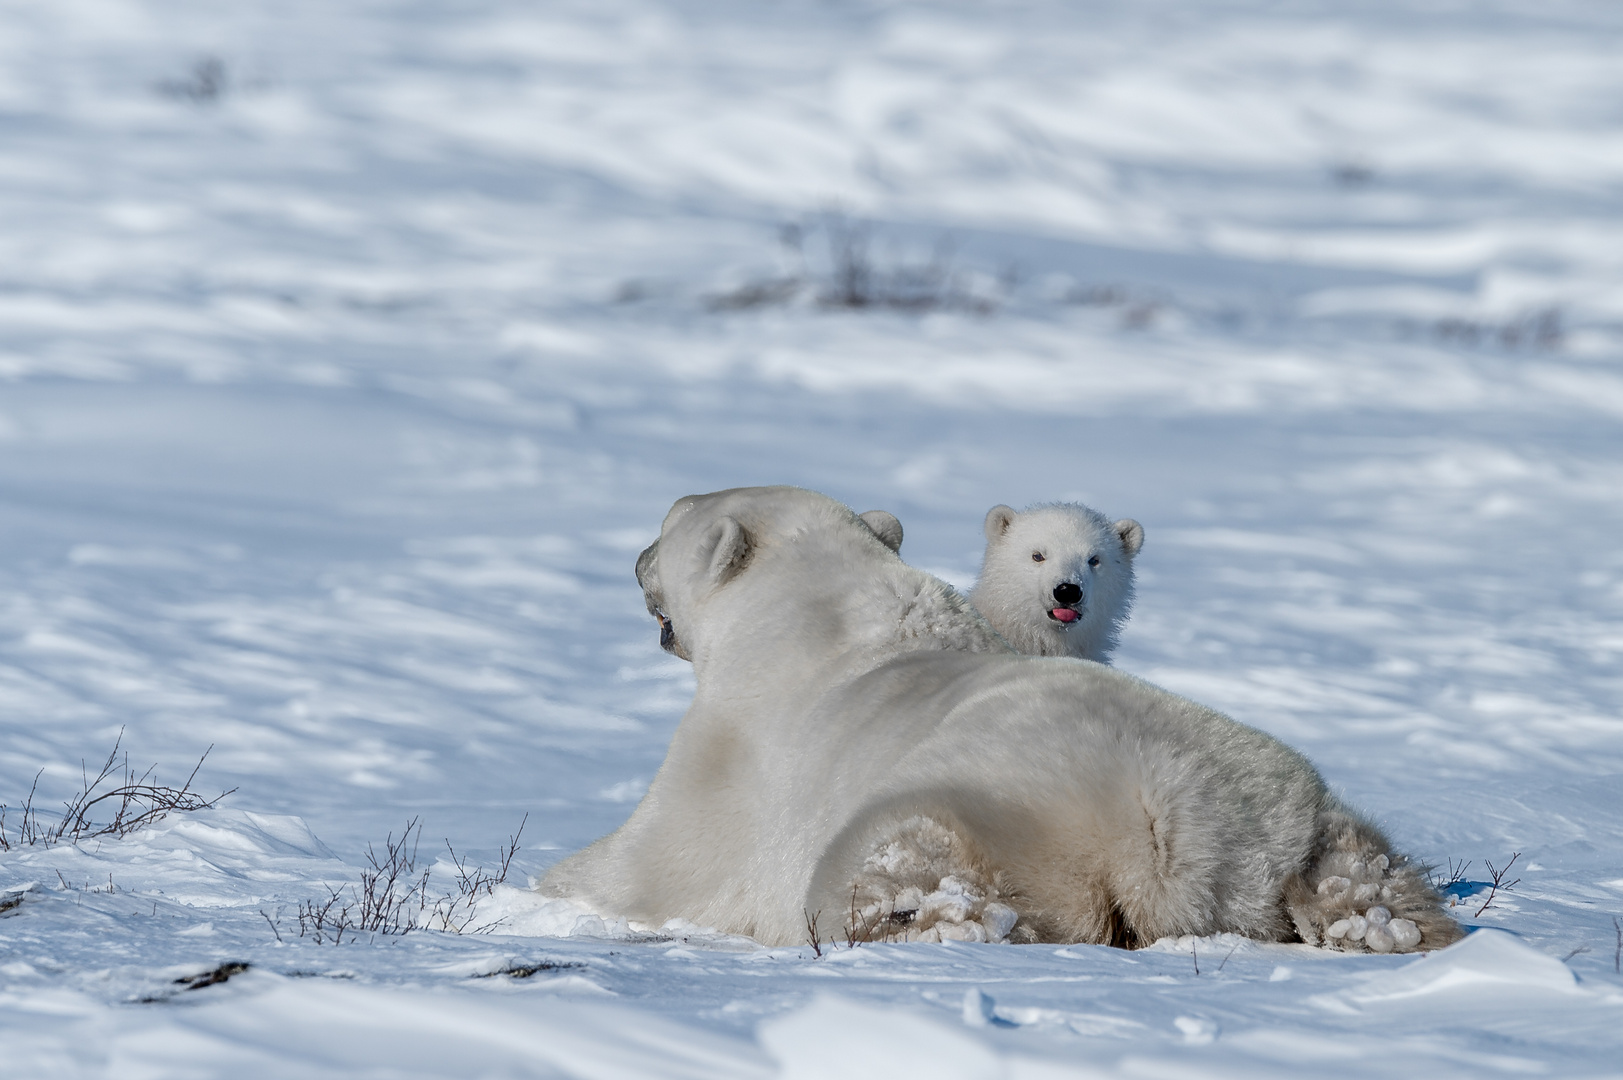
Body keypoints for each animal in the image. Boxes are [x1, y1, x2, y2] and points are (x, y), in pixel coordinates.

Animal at [542, 483, 1460, 948]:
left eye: (666, 522)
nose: (635, 560)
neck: (815, 611)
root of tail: (1172, 827)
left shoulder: (735, 757)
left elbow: (645, 865)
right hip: (1289, 806)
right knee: (1354, 865)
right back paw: (1380, 924)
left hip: (1006, 813)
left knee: (899, 864)